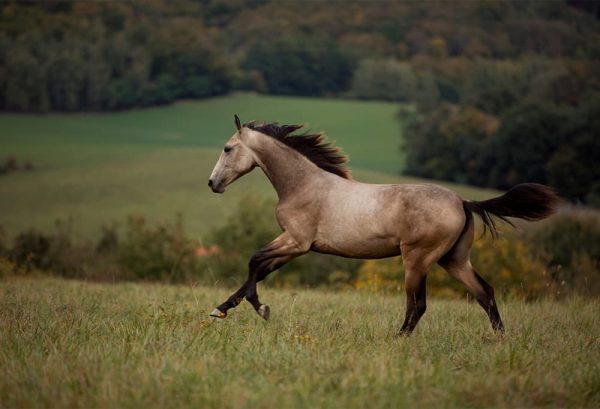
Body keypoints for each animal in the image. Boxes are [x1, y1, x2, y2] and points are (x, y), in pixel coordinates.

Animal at [206, 115, 556, 334]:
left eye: (227, 148)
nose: (212, 183)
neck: (304, 184)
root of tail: (462, 201)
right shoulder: (294, 246)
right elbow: (260, 269)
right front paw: (221, 309)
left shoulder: (296, 241)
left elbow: (254, 261)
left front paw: (260, 308)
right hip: (453, 260)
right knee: (484, 292)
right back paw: (500, 338)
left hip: (417, 259)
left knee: (418, 304)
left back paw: (397, 339)